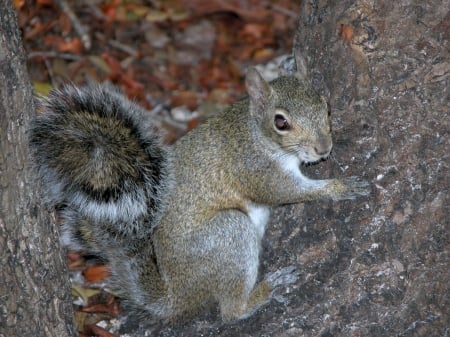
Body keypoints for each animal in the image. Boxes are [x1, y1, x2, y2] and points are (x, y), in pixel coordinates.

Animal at [28, 52, 370, 322]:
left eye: (326, 106)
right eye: (281, 122)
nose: (324, 149)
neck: (255, 132)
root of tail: (179, 294)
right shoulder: (254, 169)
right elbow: (285, 192)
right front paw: (340, 188)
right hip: (228, 235)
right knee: (230, 312)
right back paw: (267, 290)